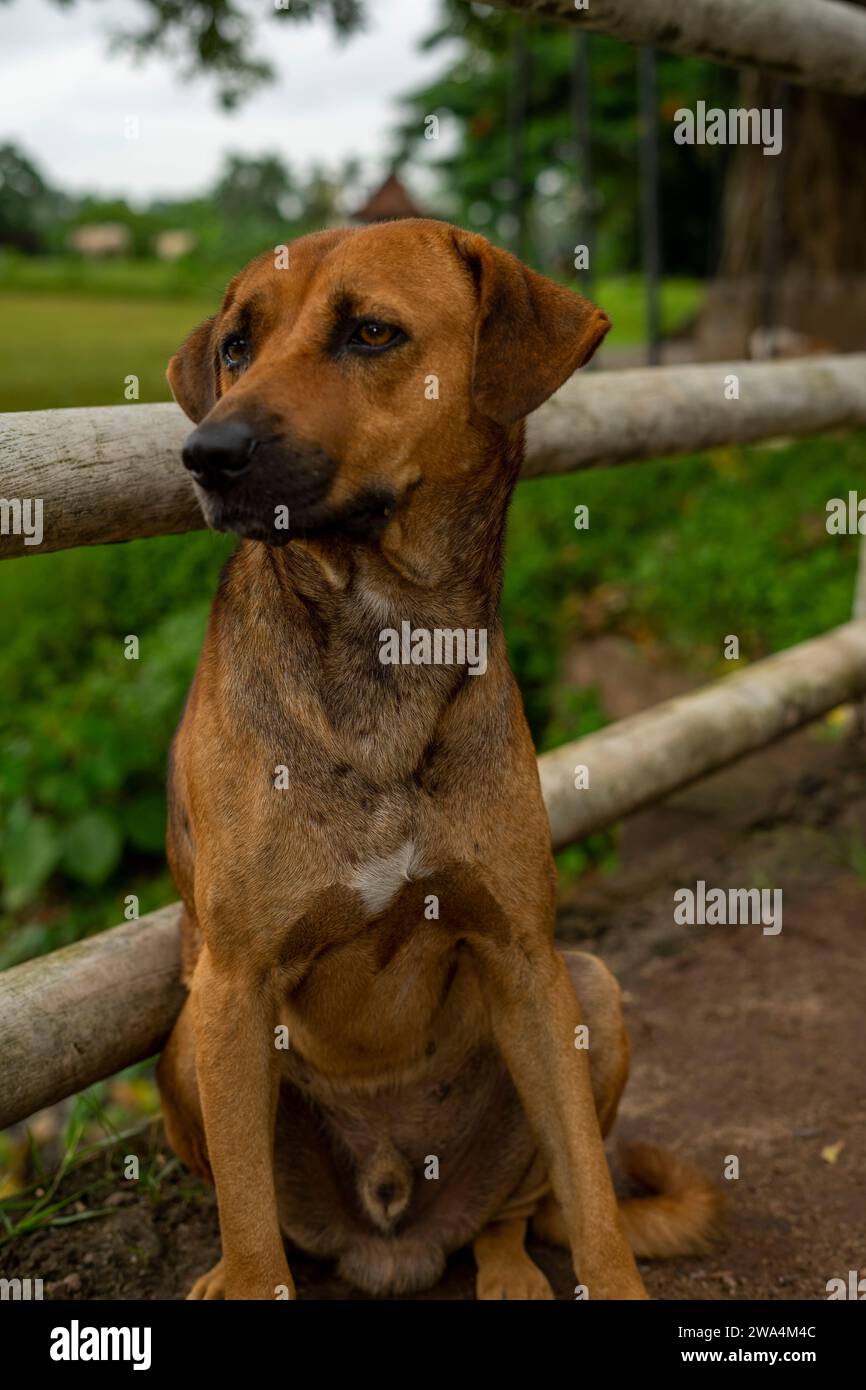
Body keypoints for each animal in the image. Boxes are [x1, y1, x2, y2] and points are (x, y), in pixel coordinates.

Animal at [157, 219, 717, 1301]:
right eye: (237, 346)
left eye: (371, 332)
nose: (207, 453)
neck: (387, 638)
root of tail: (391, 1235)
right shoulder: (233, 987)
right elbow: (249, 1226)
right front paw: (239, 1272)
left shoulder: (525, 956)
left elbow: (593, 1199)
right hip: (182, 1045)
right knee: (260, 1225)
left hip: (590, 990)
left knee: (514, 1210)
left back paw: (506, 1267)